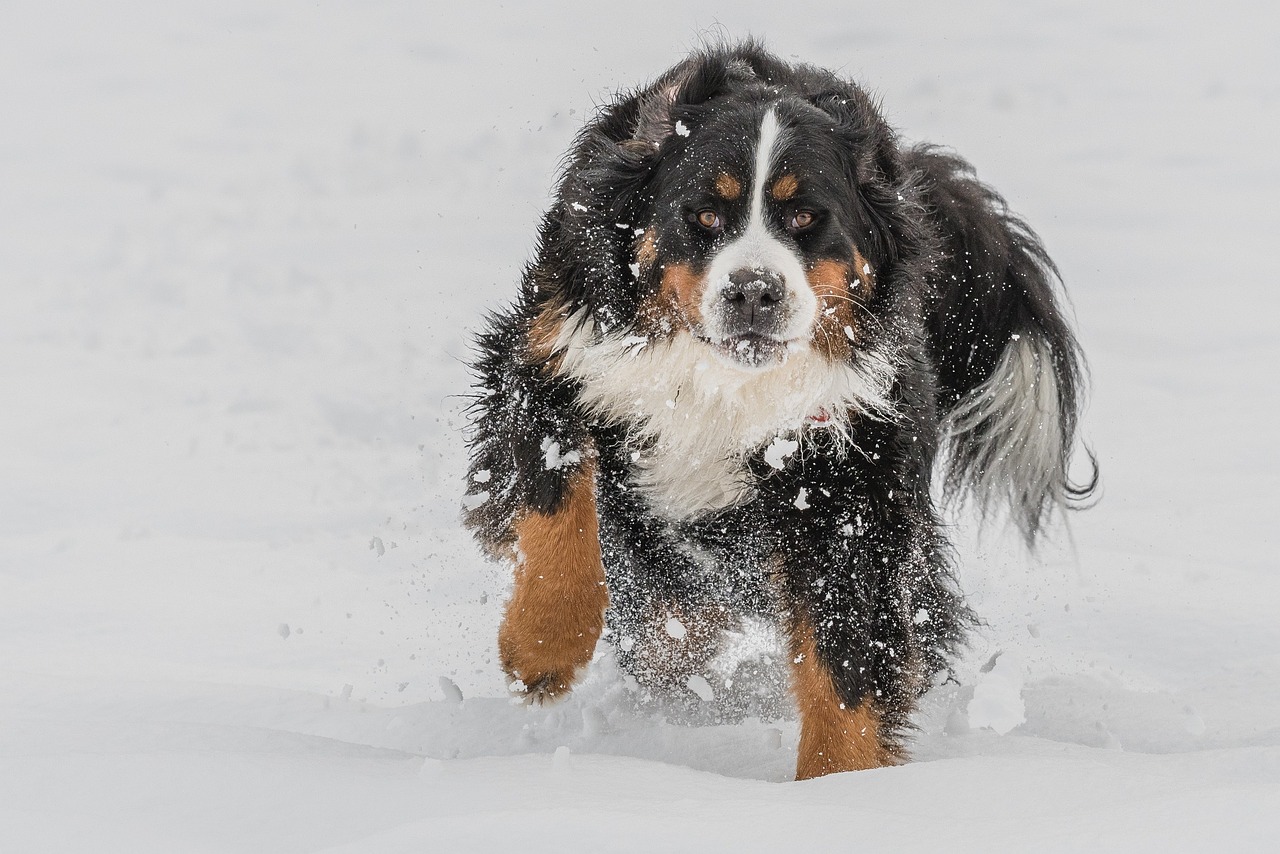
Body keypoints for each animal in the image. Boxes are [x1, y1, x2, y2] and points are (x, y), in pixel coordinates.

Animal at [465, 45, 1095, 783]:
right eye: (705, 216)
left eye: (805, 219)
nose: (753, 291)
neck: (723, 385)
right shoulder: (552, 358)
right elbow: (556, 506)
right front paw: (541, 648)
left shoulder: (847, 483)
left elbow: (846, 662)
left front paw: (837, 786)